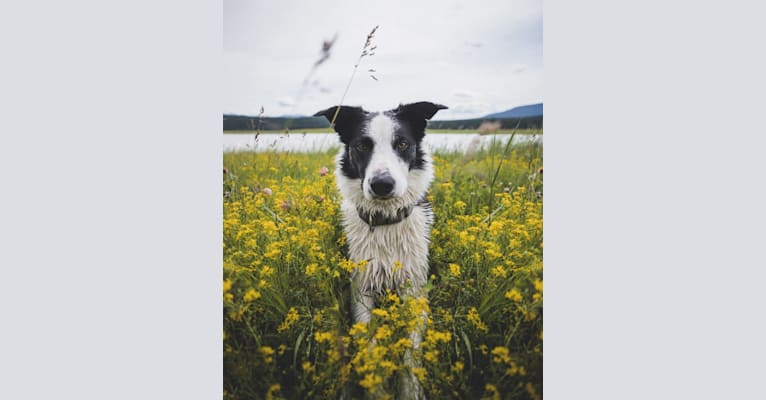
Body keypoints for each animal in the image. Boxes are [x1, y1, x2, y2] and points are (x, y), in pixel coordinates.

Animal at [316, 101, 450, 398]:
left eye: (402, 143)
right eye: (362, 146)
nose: (382, 185)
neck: (385, 222)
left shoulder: (415, 289)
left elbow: (410, 353)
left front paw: (410, 390)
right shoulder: (361, 290)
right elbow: (371, 349)